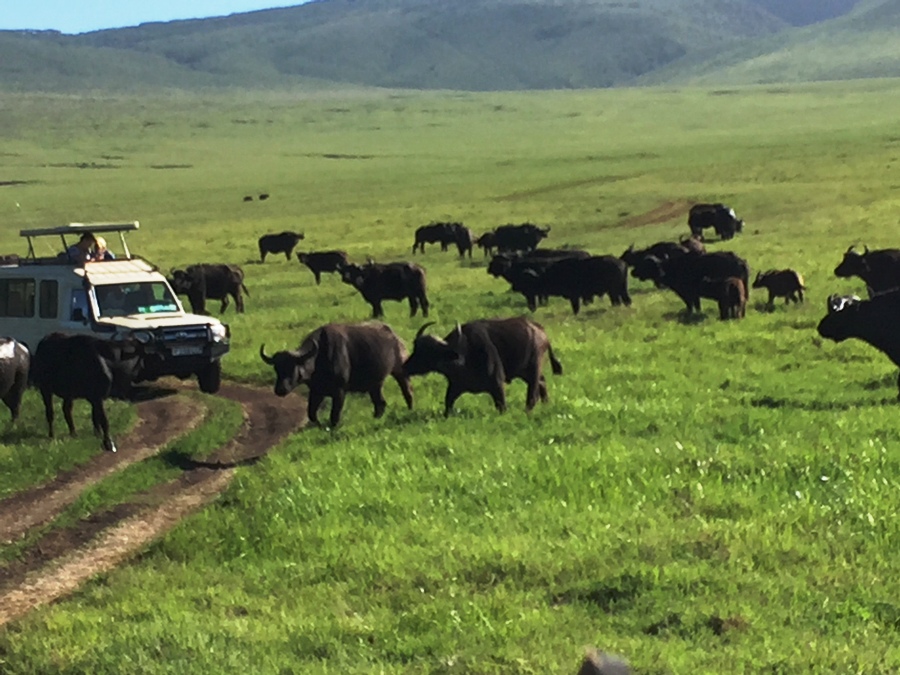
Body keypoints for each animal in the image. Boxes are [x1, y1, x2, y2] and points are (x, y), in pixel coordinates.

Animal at [258, 324, 414, 428]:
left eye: (292, 367)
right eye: (277, 369)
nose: (280, 390)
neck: (319, 357)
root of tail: (395, 337)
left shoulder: (339, 391)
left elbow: (334, 414)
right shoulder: (316, 391)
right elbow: (311, 413)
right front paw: (319, 425)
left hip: (400, 371)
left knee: (407, 391)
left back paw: (410, 409)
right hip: (374, 385)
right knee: (380, 403)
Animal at [402, 318, 560, 418]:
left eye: (428, 352)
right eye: (416, 348)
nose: (406, 366)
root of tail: (540, 330)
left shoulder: (497, 384)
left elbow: (501, 405)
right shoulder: (455, 386)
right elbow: (448, 402)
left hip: (534, 368)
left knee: (533, 393)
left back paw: (528, 410)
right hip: (526, 372)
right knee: (542, 382)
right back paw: (546, 404)